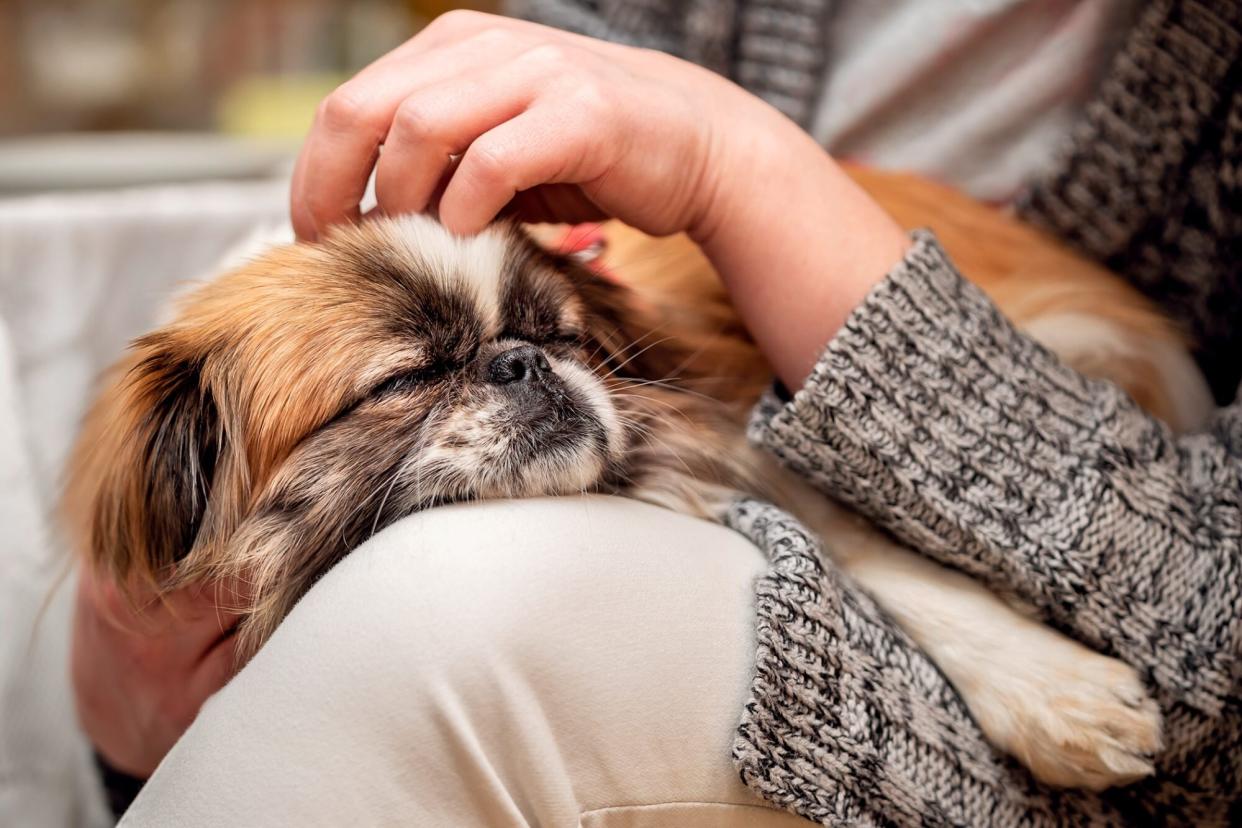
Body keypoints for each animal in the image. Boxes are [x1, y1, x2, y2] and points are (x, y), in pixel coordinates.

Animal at [63, 166, 1207, 789]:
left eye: (557, 335)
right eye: (407, 378)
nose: (523, 363)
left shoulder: (747, 441)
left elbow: (874, 552)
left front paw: (1052, 693)